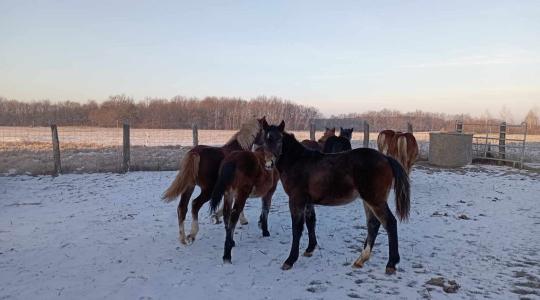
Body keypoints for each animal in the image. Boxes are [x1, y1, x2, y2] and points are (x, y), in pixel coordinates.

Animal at [162, 116, 268, 245]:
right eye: (265, 130)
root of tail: (195, 152)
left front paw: (218, 217)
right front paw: (240, 220)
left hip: (189, 187)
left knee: (182, 208)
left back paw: (183, 239)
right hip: (207, 190)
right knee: (195, 204)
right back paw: (192, 234)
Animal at [262, 120, 410, 274]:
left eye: (279, 139)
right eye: (265, 140)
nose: (268, 163)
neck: (298, 161)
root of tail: (386, 158)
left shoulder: (296, 200)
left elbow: (297, 228)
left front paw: (290, 260)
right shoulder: (308, 201)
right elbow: (311, 221)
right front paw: (310, 249)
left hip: (375, 200)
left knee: (390, 223)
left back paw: (391, 264)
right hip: (368, 200)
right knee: (373, 224)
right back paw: (361, 260)